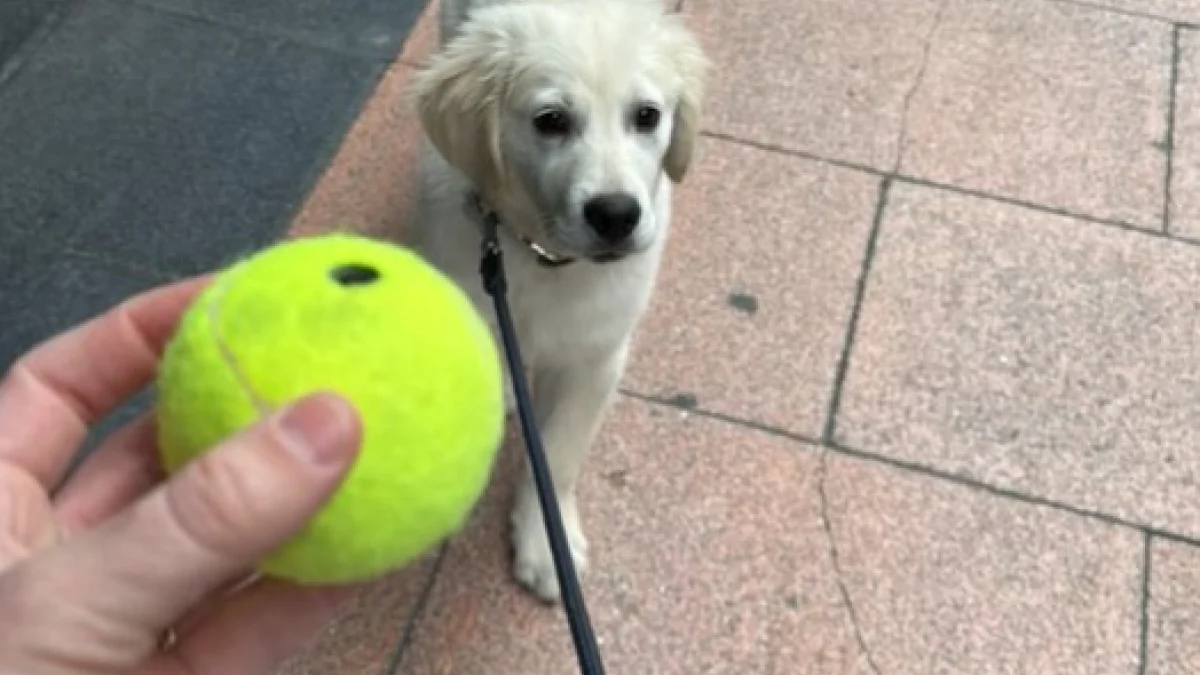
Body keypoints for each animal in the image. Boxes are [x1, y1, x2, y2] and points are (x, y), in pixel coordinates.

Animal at [408, 0, 705, 598]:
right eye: (550, 121)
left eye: (647, 116)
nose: (616, 215)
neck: (540, 254)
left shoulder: (595, 357)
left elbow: (560, 453)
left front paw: (548, 543)